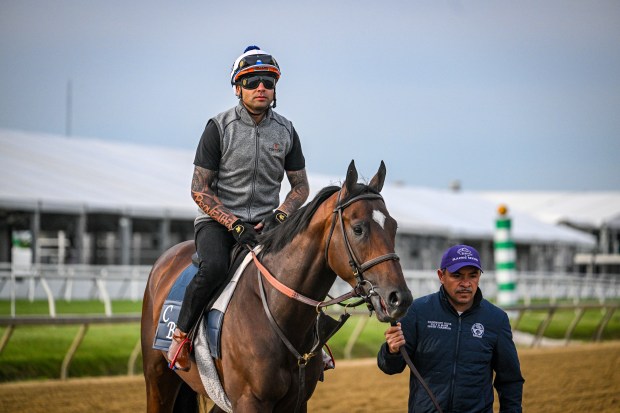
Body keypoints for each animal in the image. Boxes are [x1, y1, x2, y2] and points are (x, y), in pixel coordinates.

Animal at [140, 159, 412, 410]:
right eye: (358, 229)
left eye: (394, 226)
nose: (399, 298)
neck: (278, 312)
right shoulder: (249, 401)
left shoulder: (296, 401)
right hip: (158, 378)